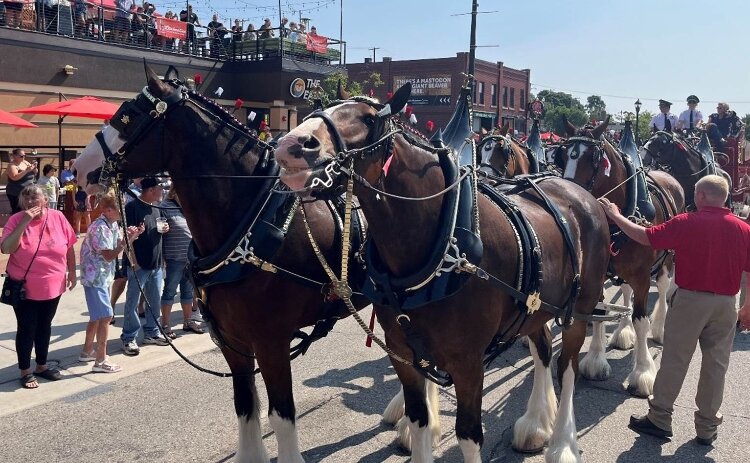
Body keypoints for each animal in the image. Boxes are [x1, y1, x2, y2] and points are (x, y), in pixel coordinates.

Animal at [276, 84, 612, 463]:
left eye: (369, 119)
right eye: (314, 112)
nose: (291, 145)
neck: (441, 247)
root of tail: (581, 194)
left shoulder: (468, 363)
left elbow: (468, 435)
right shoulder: (403, 354)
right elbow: (418, 419)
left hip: (578, 311)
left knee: (567, 369)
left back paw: (563, 443)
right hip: (537, 305)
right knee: (541, 352)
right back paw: (535, 425)